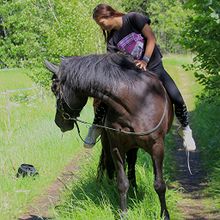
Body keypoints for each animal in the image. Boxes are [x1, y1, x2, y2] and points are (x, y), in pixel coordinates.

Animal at [45, 52, 174, 219]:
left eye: (54, 88)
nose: (58, 122)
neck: (137, 103)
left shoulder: (157, 147)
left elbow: (159, 184)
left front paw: (164, 214)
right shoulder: (117, 147)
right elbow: (121, 183)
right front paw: (123, 213)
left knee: (131, 163)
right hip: (110, 142)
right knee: (118, 165)